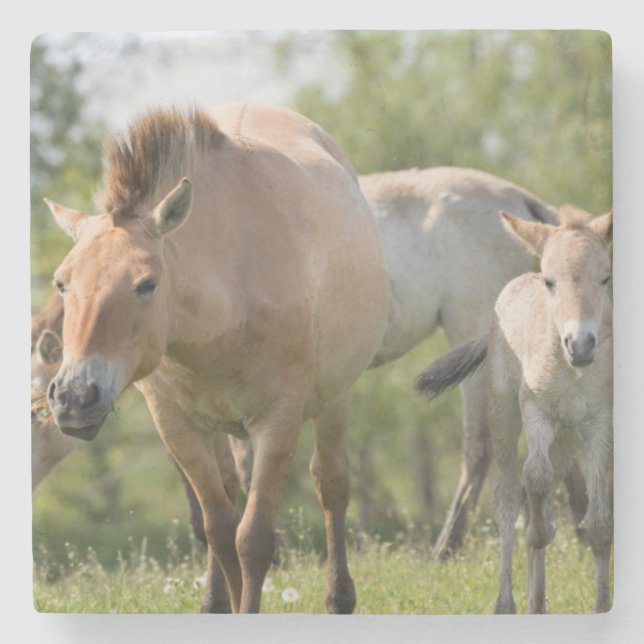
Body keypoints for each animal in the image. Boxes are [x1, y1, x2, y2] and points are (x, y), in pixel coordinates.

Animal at [43, 103, 389, 613]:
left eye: (146, 284)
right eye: (62, 282)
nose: (72, 398)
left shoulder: (278, 420)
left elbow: (254, 538)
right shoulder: (178, 426)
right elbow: (220, 530)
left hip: (335, 400)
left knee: (331, 483)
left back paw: (339, 599)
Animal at [416, 206, 613, 613]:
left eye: (605, 278)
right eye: (551, 281)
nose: (581, 345)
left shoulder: (599, 422)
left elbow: (600, 523)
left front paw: (602, 606)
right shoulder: (536, 412)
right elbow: (533, 482)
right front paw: (539, 536)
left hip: (566, 437)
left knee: (544, 491)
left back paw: (537, 601)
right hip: (504, 413)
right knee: (509, 494)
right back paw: (506, 603)